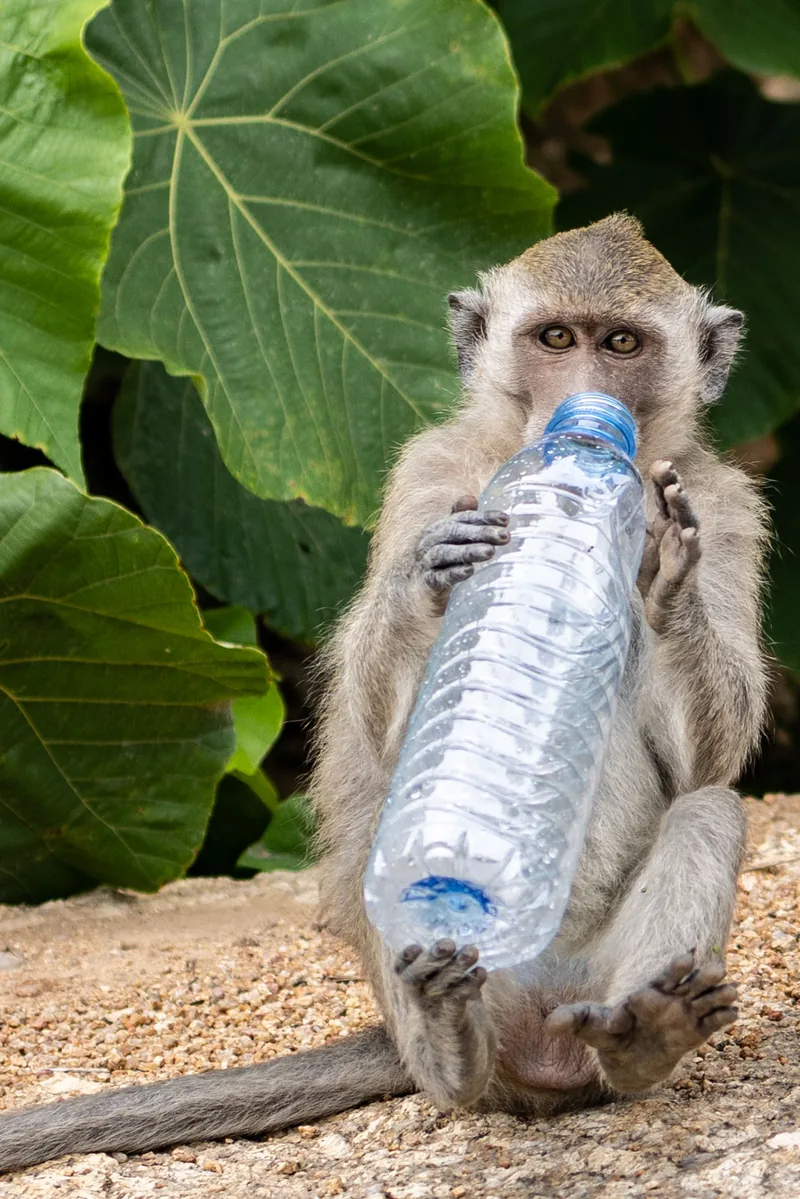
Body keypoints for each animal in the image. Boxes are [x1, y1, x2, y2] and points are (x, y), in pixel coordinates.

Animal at [0, 215, 768, 1173]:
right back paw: (448, 1041)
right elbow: (379, 718)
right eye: (557, 339)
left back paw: (643, 1036)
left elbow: (711, 752)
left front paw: (665, 575)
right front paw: (428, 570)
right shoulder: (427, 470)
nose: (588, 399)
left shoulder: (724, 503)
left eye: (621, 344)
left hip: (584, 990)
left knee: (707, 811)